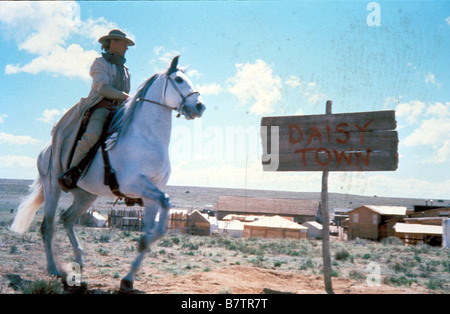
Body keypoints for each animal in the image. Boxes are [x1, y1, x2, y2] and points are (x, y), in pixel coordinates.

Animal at [9, 56, 206, 292]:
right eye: (178, 79)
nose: (200, 106)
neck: (146, 137)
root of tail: (45, 150)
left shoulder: (152, 194)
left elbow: (151, 233)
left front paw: (128, 280)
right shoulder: (134, 184)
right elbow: (164, 207)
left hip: (86, 195)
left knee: (67, 219)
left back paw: (79, 263)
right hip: (53, 188)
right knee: (47, 226)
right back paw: (54, 269)